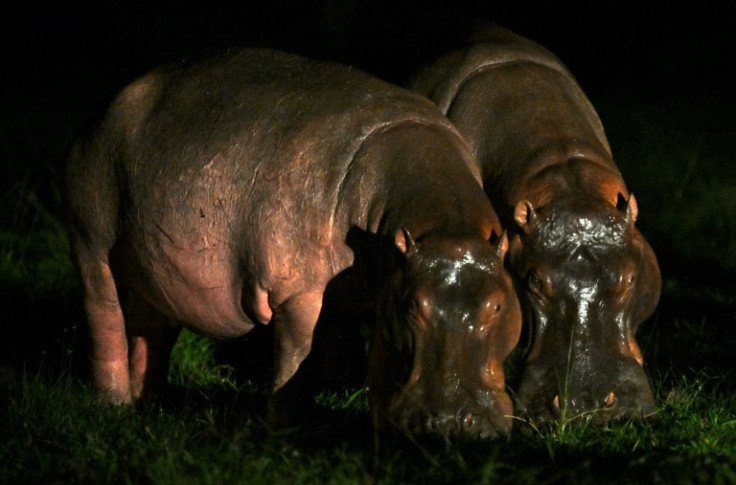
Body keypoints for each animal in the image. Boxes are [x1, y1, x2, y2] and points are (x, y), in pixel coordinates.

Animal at [64, 48, 524, 438]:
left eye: (499, 305)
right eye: (413, 305)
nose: (451, 423)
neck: (443, 226)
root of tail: (106, 107)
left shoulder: (386, 284)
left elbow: (379, 362)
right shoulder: (300, 292)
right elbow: (297, 358)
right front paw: (285, 433)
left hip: (155, 270)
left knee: (151, 329)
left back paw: (150, 403)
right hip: (90, 241)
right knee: (104, 318)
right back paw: (114, 405)